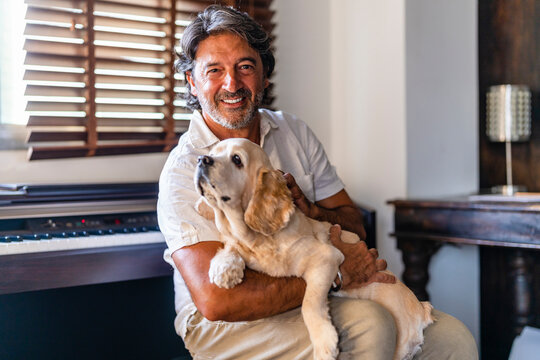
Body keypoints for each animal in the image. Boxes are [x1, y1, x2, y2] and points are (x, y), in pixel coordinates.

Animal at [194, 138, 434, 360]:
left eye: (237, 160)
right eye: (212, 153)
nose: (202, 160)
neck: (258, 239)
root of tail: (422, 310)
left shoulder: (325, 259)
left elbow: (308, 304)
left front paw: (324, 344)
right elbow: (230, 245)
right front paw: (224, 269)